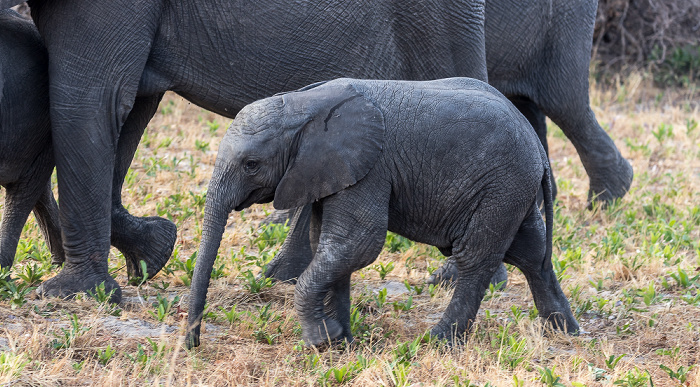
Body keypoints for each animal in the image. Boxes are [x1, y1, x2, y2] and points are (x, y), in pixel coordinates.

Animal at [8, 0, 490, 304]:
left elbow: (89, 100)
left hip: (434, 25)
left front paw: (70, 294)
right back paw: (282, 277)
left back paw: (454, 277)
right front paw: (151, 255)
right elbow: (126, 109)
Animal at [187, 77, 580, 348]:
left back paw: (437, 342)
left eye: (251, 164)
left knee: (476, 257)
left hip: (500, 186)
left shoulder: (370, 169)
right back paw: (565, 332)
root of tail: (538, 148)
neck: (305, 104)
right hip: (513, 189)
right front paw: (341, 341)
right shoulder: (329, 173)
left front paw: (320, 340)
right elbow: (327, 244)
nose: (192, 344)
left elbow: (358, 243)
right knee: (531, 254)